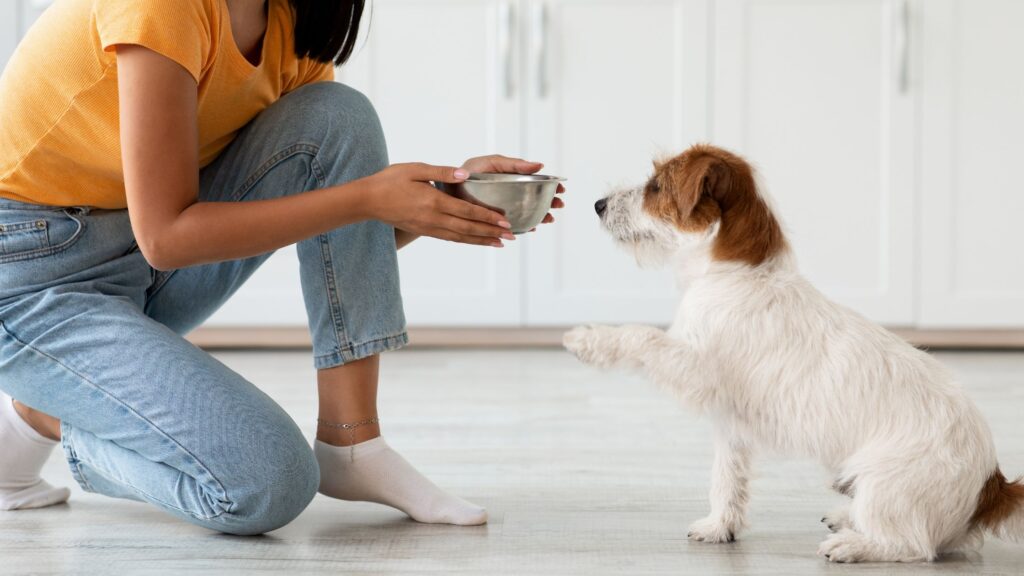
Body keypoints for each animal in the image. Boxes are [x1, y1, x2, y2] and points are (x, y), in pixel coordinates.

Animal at [565, 142, 1019, 561]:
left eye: (656, 185)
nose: (598, 205)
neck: (737, 272)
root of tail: (991, 485)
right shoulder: (731, 423)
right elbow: (726, 478)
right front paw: (720, 526)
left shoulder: (694, 368)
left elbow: (643, 336)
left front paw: (588, 339)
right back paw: (845, 517)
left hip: (884, 481)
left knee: (911, 545)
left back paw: (852, 545)